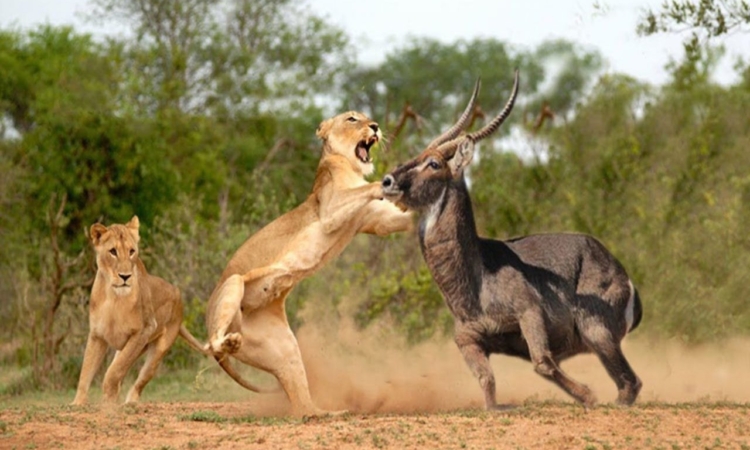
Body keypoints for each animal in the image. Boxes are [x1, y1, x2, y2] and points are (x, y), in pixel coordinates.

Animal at [71, 216, 207, 405]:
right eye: (112, 251)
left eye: (131, 251)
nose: (125, 276)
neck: (114, 297)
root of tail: (179, 297)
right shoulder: (97, 335)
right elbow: (86, 372)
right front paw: (77, 403)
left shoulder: (144, 330)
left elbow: (113, 373)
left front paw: (108, 402)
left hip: (157, 350)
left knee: (140, 380)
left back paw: (130, 402)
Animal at [205, 111, 413, 416]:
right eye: (352, 118)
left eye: (367, 118)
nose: (375, 126)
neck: (351, 166)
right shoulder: (330, 208)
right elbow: (364, 190)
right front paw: (389, 182)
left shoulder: (379, 221)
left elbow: (402, 218)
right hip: (231, 285)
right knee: (210, 344)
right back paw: (226, 342)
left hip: (285, 349)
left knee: (302, 405)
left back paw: (327, 413)